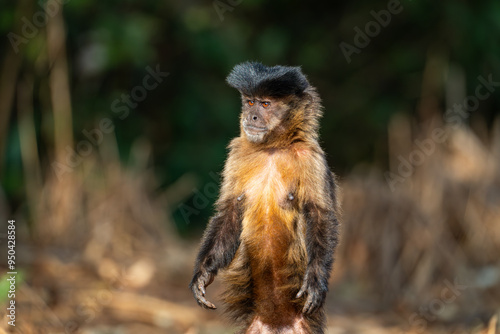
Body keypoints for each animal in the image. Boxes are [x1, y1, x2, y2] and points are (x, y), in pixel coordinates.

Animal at [190, 62, 340, 334]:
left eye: (266, 104)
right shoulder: (237, 152)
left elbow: (319, 214)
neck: (272, 148)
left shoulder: (311, 156)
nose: (251, 117)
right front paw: (203, 274)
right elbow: (230, 210)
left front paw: (315, 281)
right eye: (250, 102)